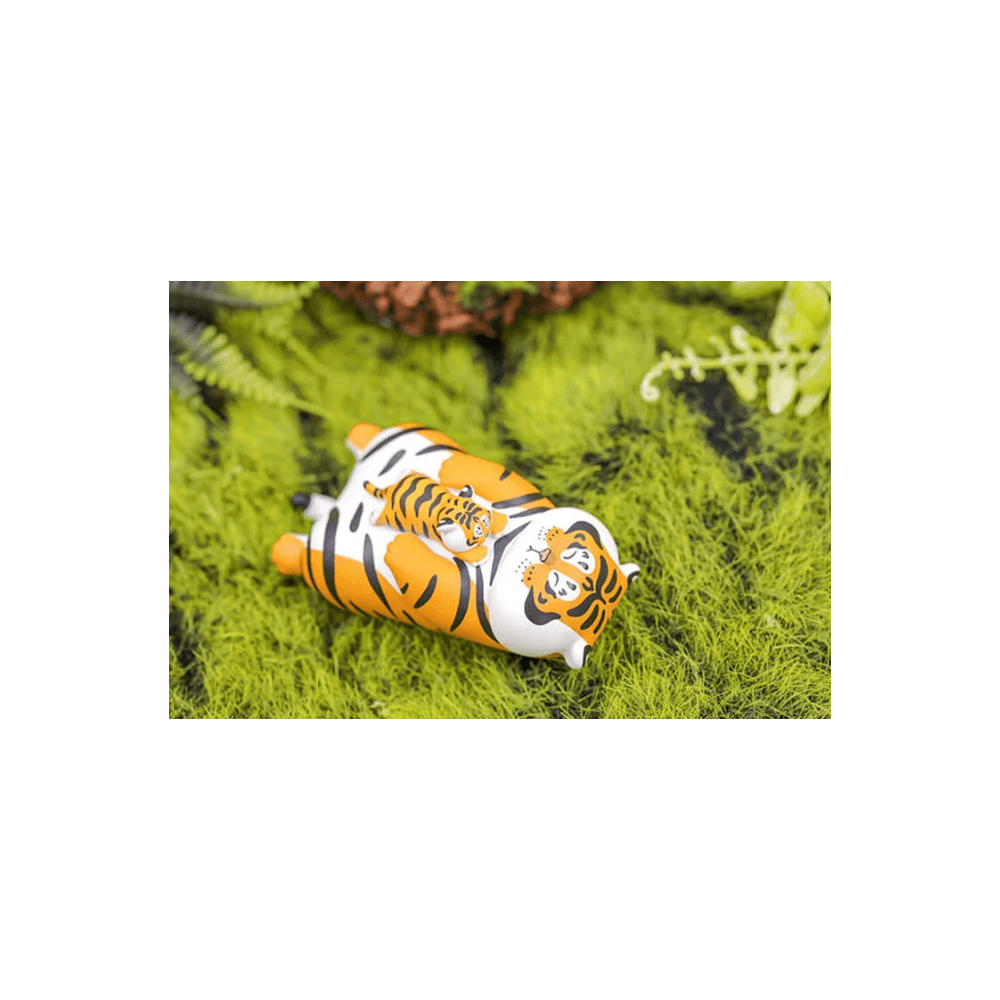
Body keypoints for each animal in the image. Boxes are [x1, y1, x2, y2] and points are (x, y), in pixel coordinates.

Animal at [363, 472, 507, 564]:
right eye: (478, 532)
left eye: (485, 522)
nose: (487, 534)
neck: (445, 507)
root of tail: (392, 488)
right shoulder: (449, 544)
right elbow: (465, 552)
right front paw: (483, 556)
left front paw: (501, 524)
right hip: (389, 517)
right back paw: (373, 516)